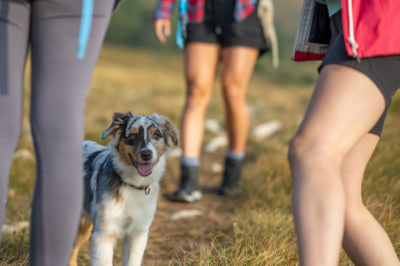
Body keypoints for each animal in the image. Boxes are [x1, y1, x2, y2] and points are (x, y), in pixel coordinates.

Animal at [69, 112, 178, 266]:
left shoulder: (137, 233)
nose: (147, 155)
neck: (133, 185)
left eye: (156, 135)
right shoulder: (103, 234)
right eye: (132, 136)